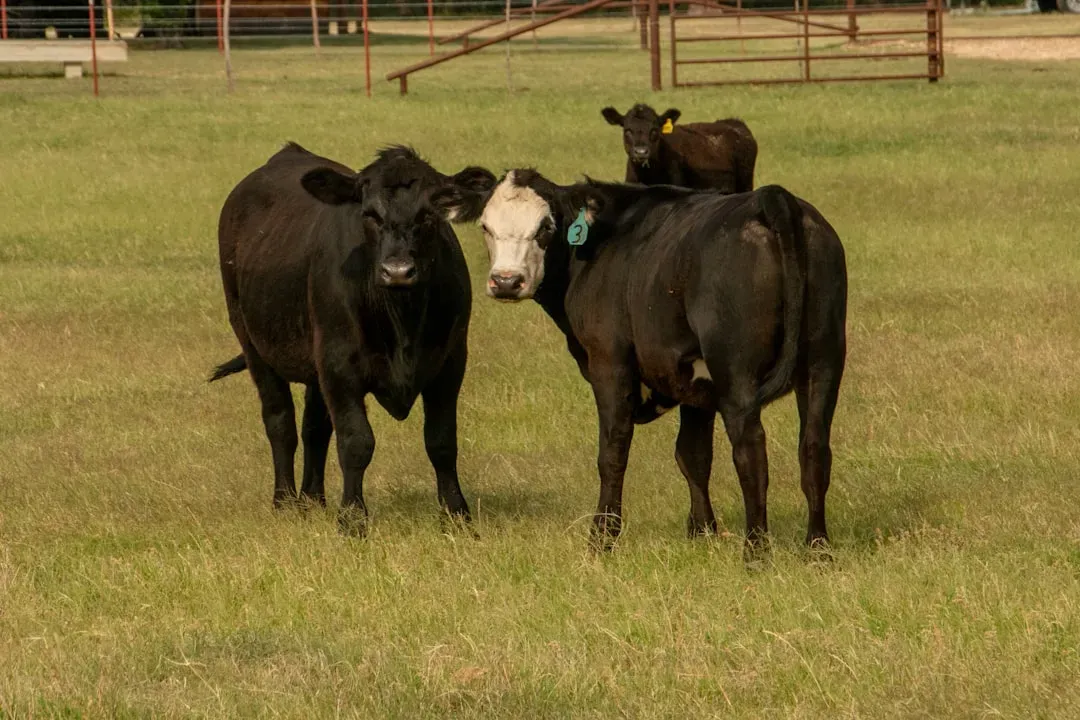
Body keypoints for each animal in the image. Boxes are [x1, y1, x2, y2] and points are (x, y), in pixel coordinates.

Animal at [210, 142, 496, 535]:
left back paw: (312, 499)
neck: (402, 321)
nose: (397, 271)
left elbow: (441, 441)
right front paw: (352, 519)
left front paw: (457, 515)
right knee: (280, 422)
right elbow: (356, 441)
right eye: (369, 214)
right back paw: (284, 501)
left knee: (314, 427)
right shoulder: (339, 366)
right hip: (253, 343)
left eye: (429, 214)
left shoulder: (450, 363)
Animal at [432, 170, 846, 555]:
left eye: (545, 227)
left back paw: (756, 552)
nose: (506, 282)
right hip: (824, 363)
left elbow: (613, 451)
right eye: (486, 227)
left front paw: (602, 538)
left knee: (751, 454)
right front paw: (702, 533)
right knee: (814, 450)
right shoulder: (695, 382)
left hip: (737, 374)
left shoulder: (609, 363)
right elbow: (693, 454)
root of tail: (771, 200)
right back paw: (818, 548)